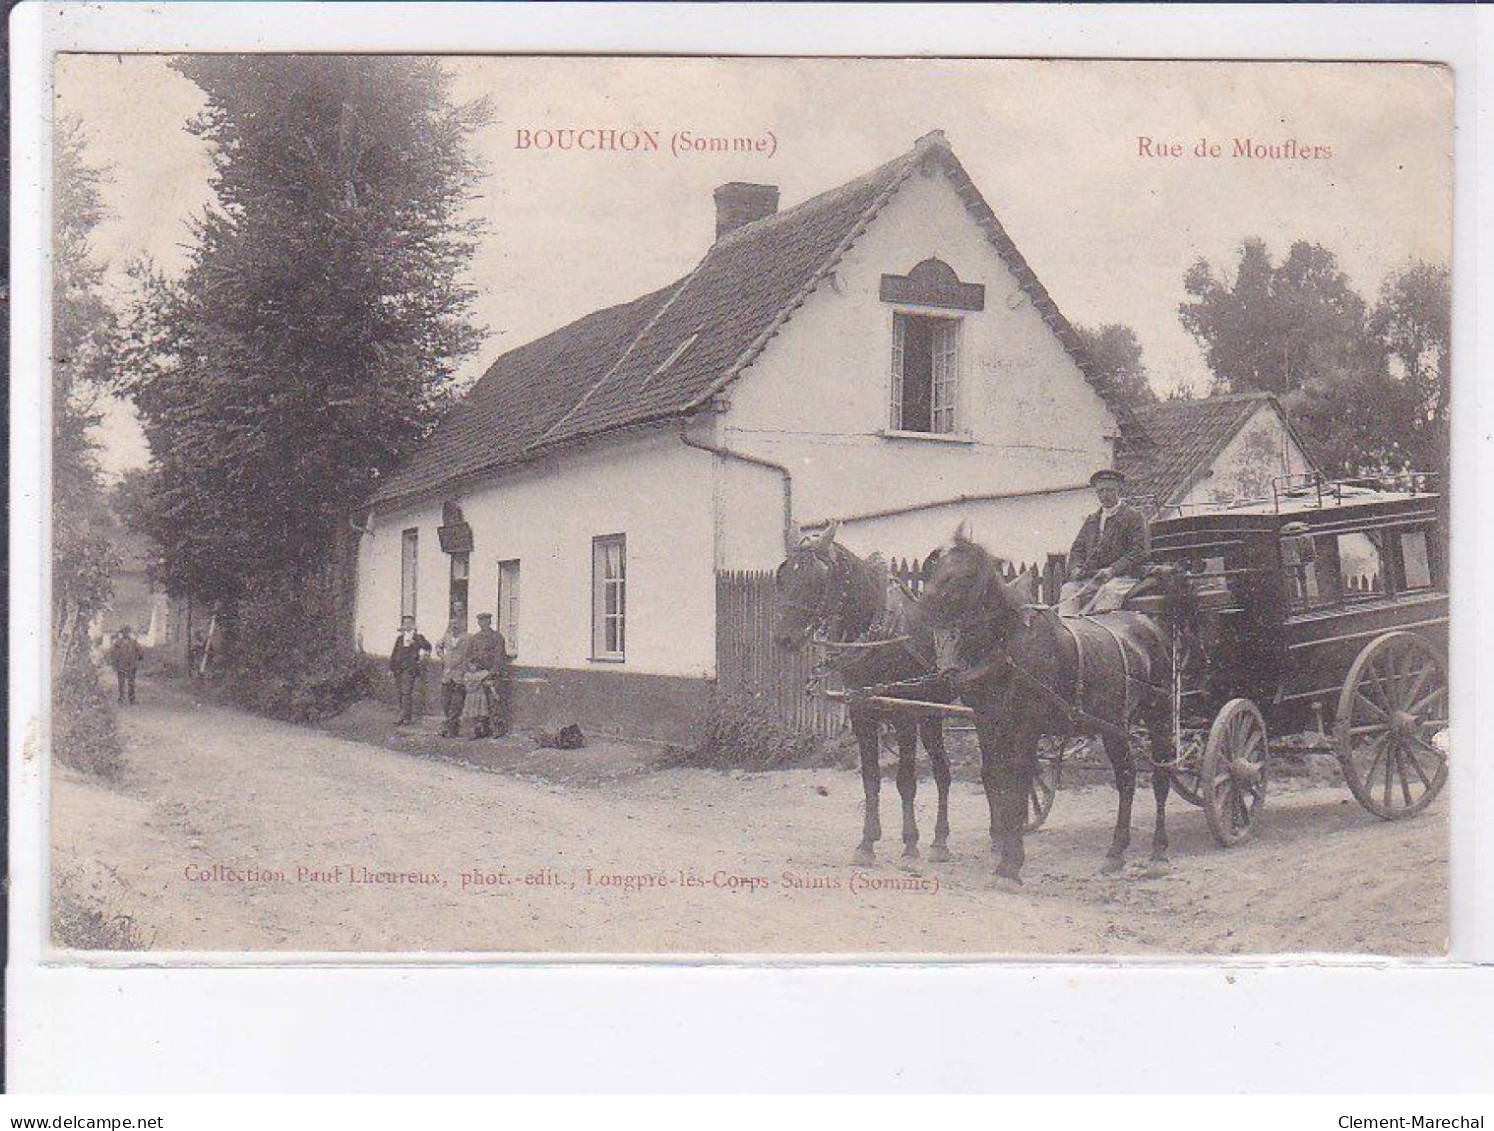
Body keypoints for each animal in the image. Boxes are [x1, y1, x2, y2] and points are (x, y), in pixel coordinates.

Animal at [770, 525, 956, 860]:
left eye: (816, 579)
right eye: (783, 576)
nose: (784, 639)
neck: (878, 632)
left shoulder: (903, 713)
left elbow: (905, 781)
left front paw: (910, 844)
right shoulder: (861, 710)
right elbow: (871, 779)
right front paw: (867, 843)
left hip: (937, 712)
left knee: (949, 771)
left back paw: (945, 841)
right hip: (928, 714)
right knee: (942, 770)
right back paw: (939, 840)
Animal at [914, 531, 1195, 890]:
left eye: (964, 574)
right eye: (935, 568)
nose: (925, 613)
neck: (1008, 647)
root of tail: (1151, 624)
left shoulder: (1027, 727)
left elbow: (1018, 783)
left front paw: (1011, 863)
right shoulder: (988, 724)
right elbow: (995, 778)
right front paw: (1003, 847)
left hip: (1158, 715)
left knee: (1159, 776)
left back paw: (1159, 852)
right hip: (1113, 725)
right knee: (1127, 777)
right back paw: (1116, 852)